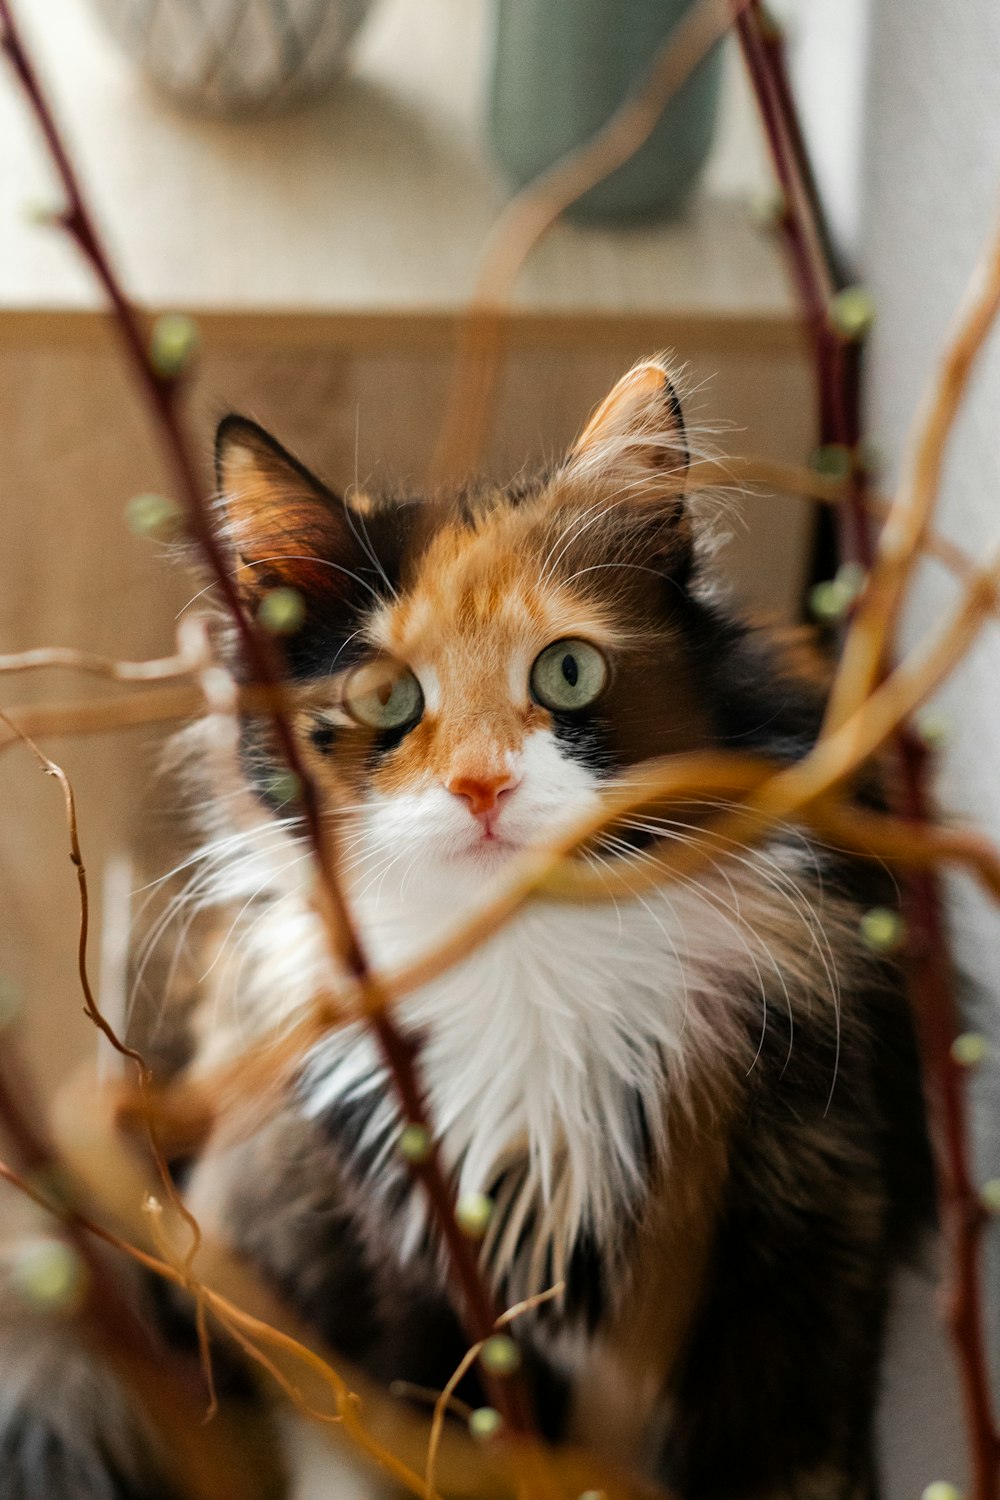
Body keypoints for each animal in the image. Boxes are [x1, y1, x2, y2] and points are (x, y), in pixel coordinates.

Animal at [3, 363, 935, 1500]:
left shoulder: (802, 1273)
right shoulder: (390, 1281)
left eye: (568, 673)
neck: (521, 967)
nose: (482, 785)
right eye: (384, 695)